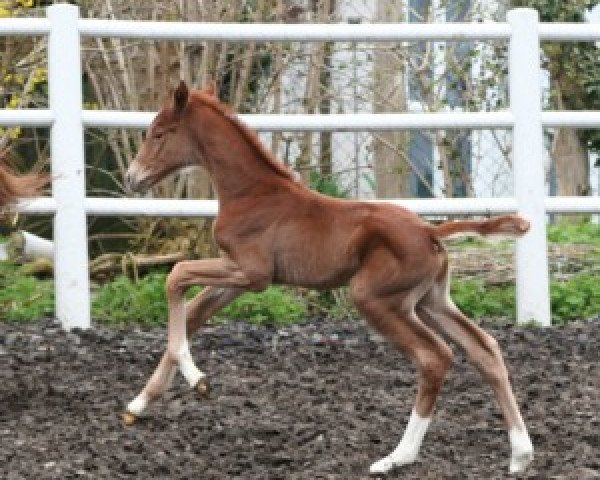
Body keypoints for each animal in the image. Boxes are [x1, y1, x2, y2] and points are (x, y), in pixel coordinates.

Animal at [125, 80, 536, 474]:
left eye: (158, 133)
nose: (132, 178)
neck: (252, 194)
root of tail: (430, 231)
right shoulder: (239, 278)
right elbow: (194, 311)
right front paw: (138, 404)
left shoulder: (252, 273)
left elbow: (175, 276)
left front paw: (195, 377)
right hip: (430, 300)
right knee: (484, 349)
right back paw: (520, 454)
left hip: (375, 298)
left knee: (434, 357)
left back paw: (396, 458)